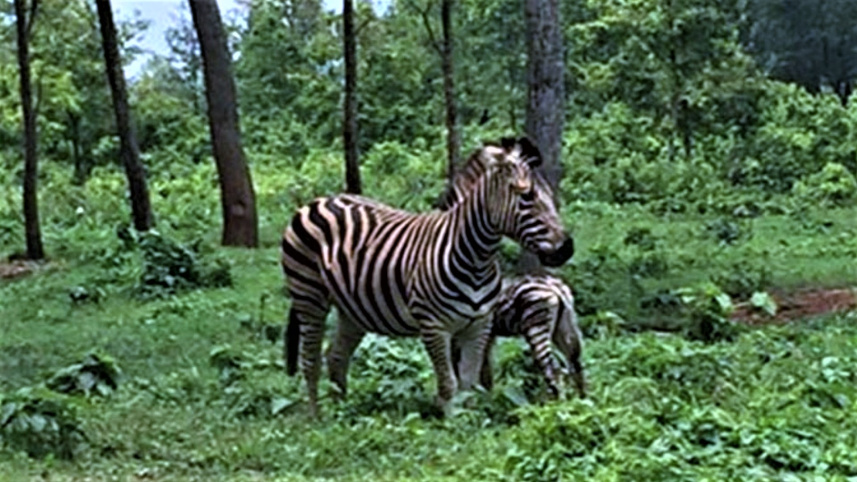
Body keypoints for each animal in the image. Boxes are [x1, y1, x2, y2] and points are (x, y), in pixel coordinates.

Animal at [281, 137, 574, 416]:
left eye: (550, 196)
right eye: (527, 197)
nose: (566, 249)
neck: (476, 260)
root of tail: (319, 200)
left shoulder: (479, 325)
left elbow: (469, 382)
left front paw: (471, 421)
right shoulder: (434, 326)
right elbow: (450, 384)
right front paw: (452, 423)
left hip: (352, 308)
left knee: (336, 357)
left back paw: (342, 413)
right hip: (309, 294)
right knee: (310, 359)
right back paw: (317, 418)